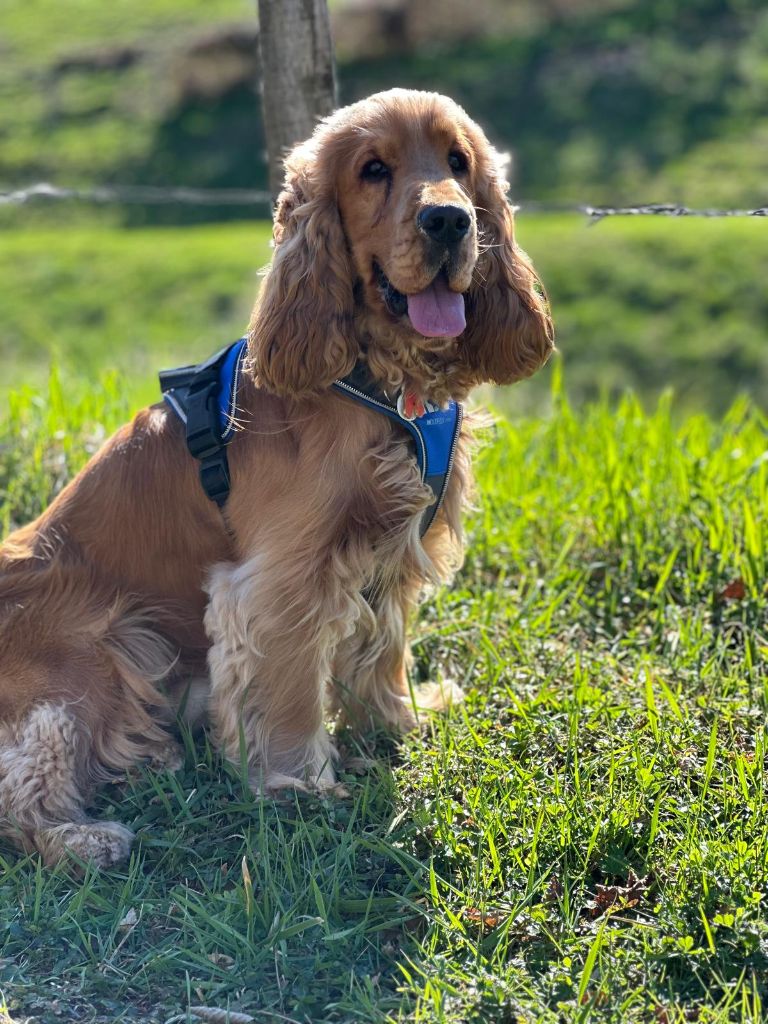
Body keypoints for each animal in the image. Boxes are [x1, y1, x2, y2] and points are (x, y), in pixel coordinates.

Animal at [0, 92, 552, 868]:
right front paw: (299, 783)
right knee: (24, 780)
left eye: (458, 161)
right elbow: (289, 686)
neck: (381, 383)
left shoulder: (389, 552)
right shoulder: (280, 579)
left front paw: (400, 720)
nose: (448, 220)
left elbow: (383, 651)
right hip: (93, 652)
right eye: (373, 169)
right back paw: (82, 838)